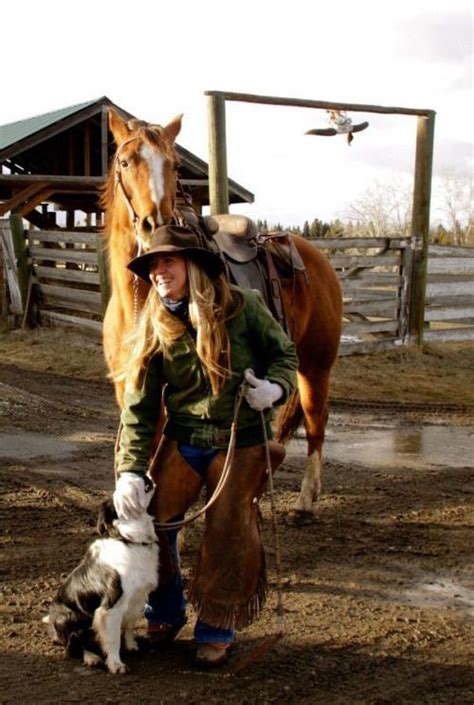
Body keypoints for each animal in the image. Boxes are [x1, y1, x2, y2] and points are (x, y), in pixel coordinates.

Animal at [43, 476, 157, 672]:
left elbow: (129, 625)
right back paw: (91, 657)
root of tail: (51, 622)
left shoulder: (137, 597)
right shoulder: (111, 607)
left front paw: (131, 645)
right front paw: (116, 664)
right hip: (71, 617)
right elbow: (113, 639)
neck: (128, 539)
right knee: (74, 646)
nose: (143, 476)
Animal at [102, 110, 342, 516]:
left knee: (315, 420)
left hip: (316, 364)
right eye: (125, 162)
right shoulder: (130, 390)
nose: (155, 224)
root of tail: (316, 257)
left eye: (174, 165)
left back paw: (305, 500)